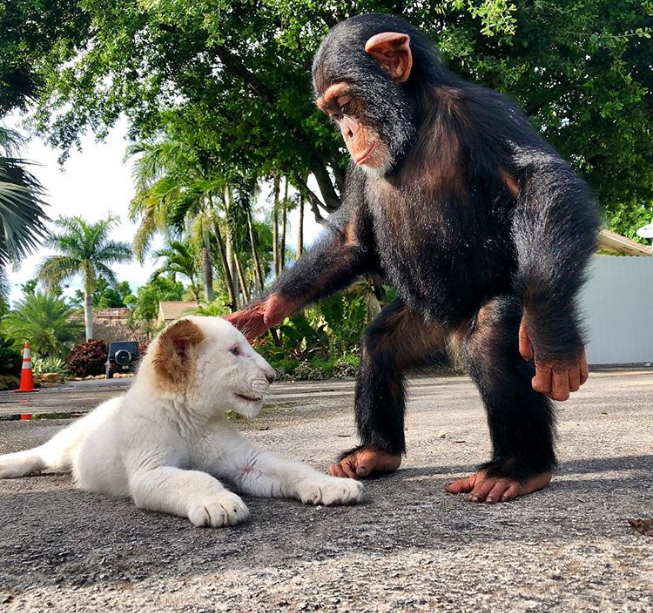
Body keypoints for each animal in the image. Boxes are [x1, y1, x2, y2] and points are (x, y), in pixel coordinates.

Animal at [226, 13, 600, 504]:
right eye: (334, 115)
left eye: (346, 102)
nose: (347, 132)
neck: (415, 123)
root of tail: (450, 328)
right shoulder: (356, 172)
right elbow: (352, 239)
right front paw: (263, 310)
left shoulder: (485, 112)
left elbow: (541, 183)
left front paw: (552, 333)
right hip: (422, 320)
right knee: (378, 345)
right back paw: (377, 451)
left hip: (486, 307)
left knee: (489, 343)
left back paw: (518, 468)